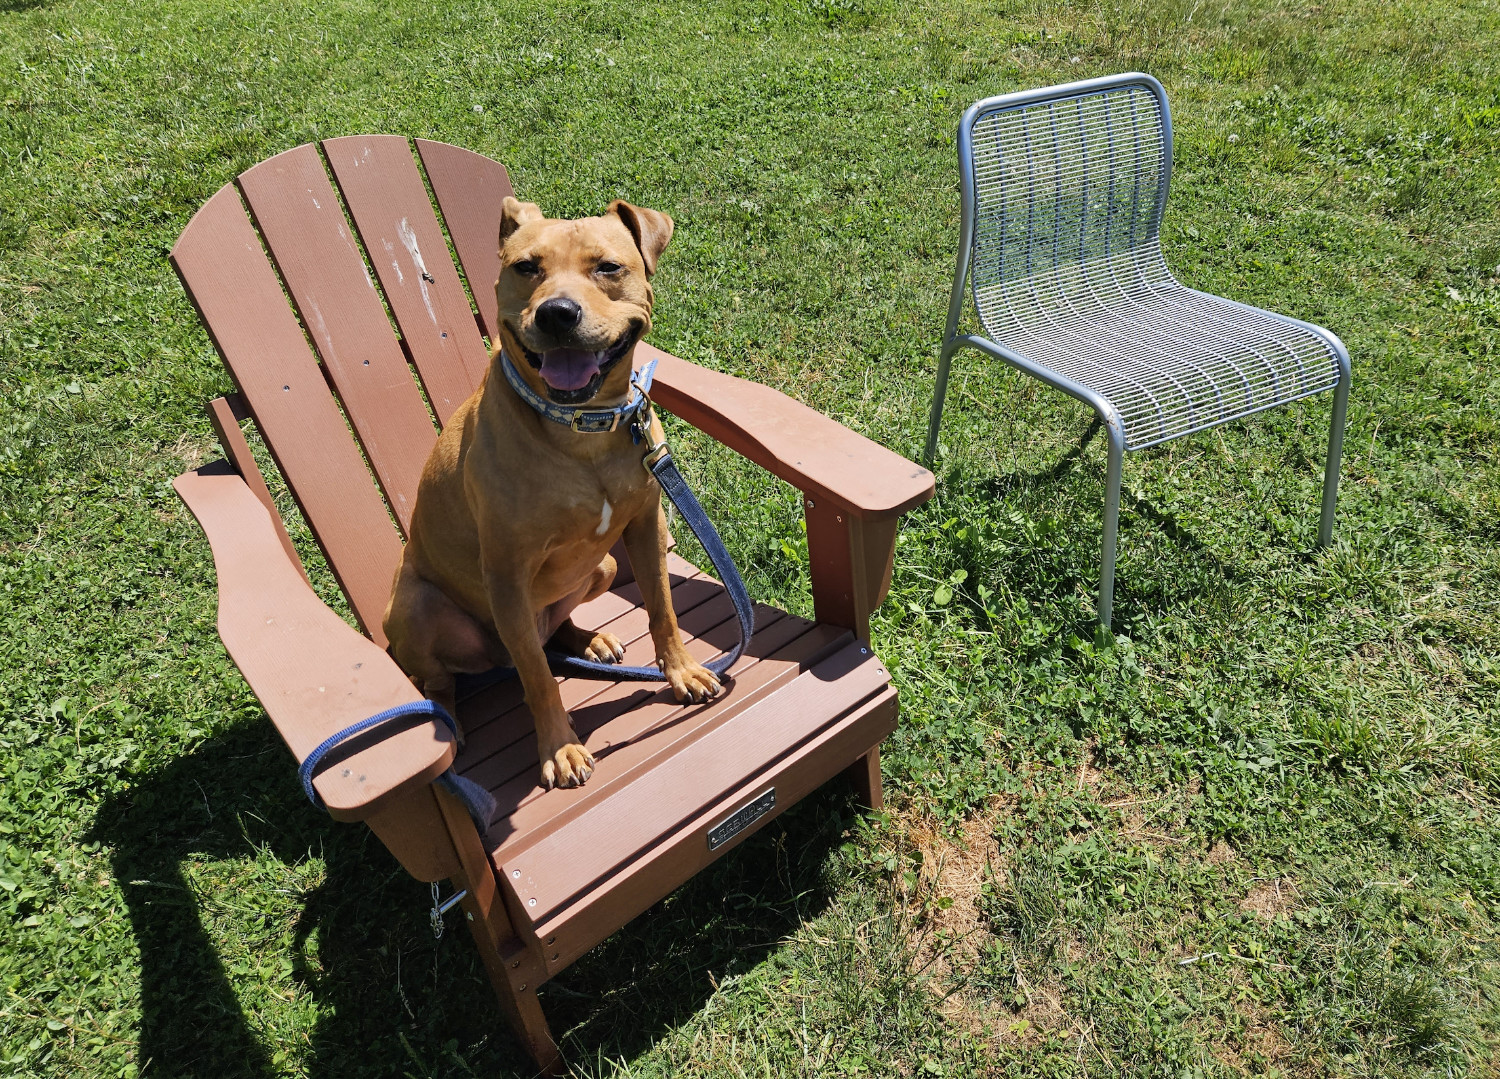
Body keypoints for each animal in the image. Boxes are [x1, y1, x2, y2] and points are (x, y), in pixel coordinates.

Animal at [381, 196, 720, 786]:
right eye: (526, 267)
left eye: (607, 267)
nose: (557, 313)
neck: (582, 430)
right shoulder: (506, 573)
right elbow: (539, 680)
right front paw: (560, 747)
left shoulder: (646, 525)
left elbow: (663, 608)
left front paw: (680, 670)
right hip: (418, 609)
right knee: (458, 676)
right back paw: (448, 719)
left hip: (603, 566)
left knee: (550, 635)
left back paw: (589, 640)